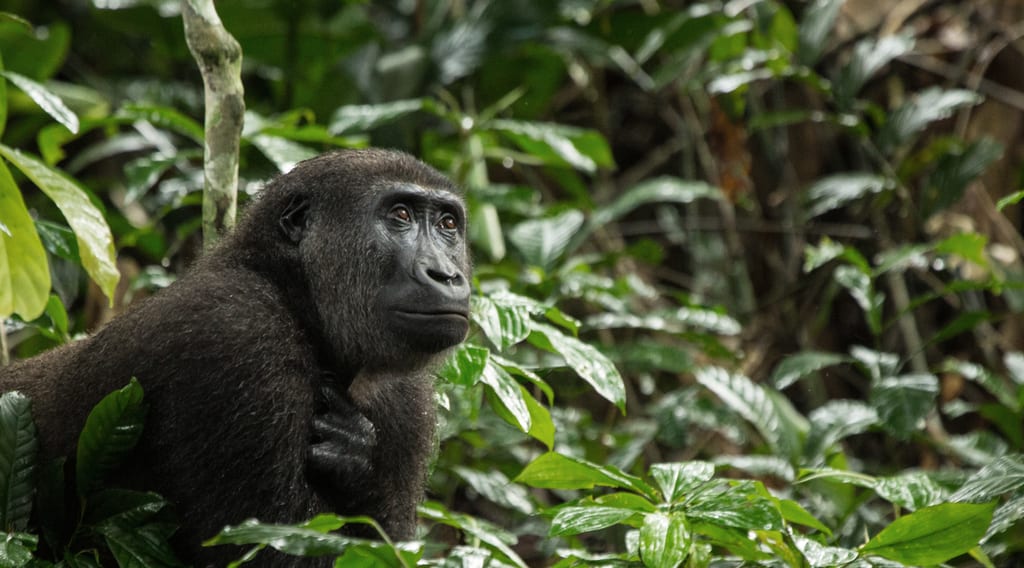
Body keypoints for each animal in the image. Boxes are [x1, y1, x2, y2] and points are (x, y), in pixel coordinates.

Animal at [0, 149, 472, 566]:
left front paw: (358, 464)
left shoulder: (407, 401)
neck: (293, 294)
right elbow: (269, 554)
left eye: (448, 224)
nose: (447, 275)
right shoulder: (236, 332)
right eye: (400, 216)